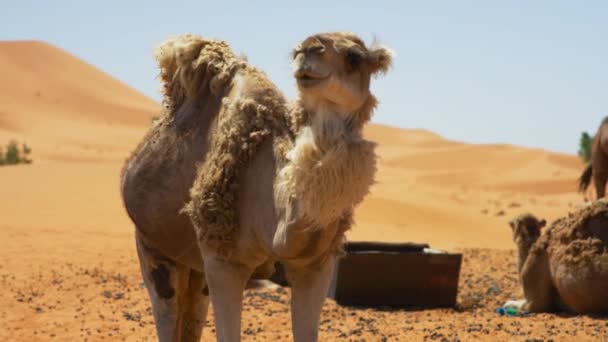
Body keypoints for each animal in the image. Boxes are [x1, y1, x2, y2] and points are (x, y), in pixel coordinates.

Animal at [121, 32, 392, 342]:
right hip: (151, 243)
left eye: (354, 57)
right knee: (167, 307)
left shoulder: (316, 264)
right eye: (297, 52)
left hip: (194, 262)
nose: (310, 49)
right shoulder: (224, 261)